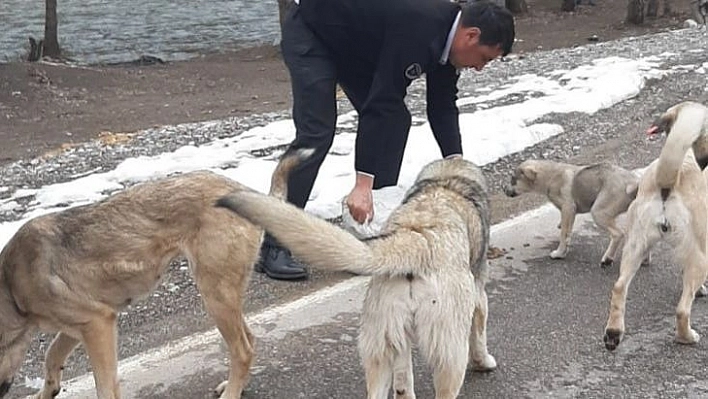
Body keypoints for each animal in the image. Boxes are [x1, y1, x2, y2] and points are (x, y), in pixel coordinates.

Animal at [0, 148, 310, 399]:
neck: (11, 288)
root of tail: (245, 191)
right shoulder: (79, 326)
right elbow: (51, 355)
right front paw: (47, 390)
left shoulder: (98, 323)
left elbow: (104, 385)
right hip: (222, 296)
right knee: (250, 341)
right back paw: (236, 385)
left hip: (215, 296)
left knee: (243, 350)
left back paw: (232, 393)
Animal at [217, 158, 498, 399]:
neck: (446, 181)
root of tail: (415, 237)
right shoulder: (478, 297)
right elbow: (480, 334)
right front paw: (484, 362)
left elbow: (403, 378)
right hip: (449, 352)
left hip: (380, 344)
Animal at [500, 161, 640, 268]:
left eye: (513, 179)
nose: (504, 189)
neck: (550, 176)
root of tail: (632, 182)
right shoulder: (571, 212)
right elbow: (567, 231)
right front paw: (564, 248)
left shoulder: (567, 208)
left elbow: (563, 233)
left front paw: (559, 253)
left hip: (598, 212)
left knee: (618, 234)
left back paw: (608, 259)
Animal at [604, 101, 708, 352]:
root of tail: (668, 182)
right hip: (700, 257)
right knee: (682, 310)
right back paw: (687, 337)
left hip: (634, 246)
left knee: (619, 287)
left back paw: (613, 333)